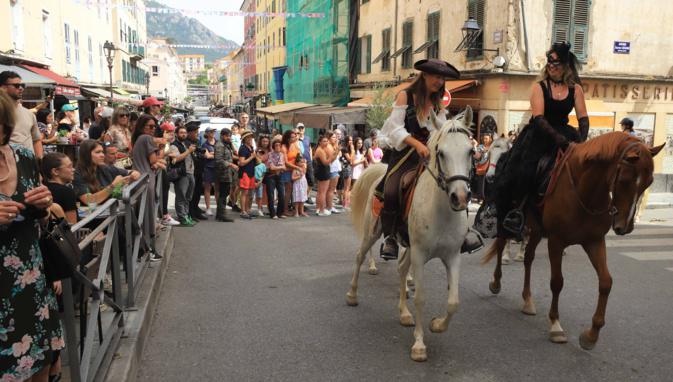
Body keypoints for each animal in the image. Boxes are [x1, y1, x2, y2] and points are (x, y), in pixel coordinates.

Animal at [346, 106, 472, 362]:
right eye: (441, 153)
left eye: (470, 151)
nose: (461, 197)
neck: (441, 211)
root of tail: (380, 172)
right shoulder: (420, 255)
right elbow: (421, 297)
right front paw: (419, 344)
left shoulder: (452, 256)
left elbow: (453, 301)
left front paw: (437, 325)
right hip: (372, 232)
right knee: (360, 256)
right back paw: (352, 295)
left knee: (401, 269)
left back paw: (404, 313)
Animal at [480, 133, 664, 350]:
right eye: (625, 180)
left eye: (648, 182)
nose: (624, 226)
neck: (585, 191)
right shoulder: (556, 242)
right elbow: (557, 282)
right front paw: (555, 325)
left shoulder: (594, 242)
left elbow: (606, 282)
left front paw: (591, 335)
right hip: (507, 217)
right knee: (501, 245)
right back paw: (496, 281)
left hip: (536, 230)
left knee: (528, 258)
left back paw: (528, 300)